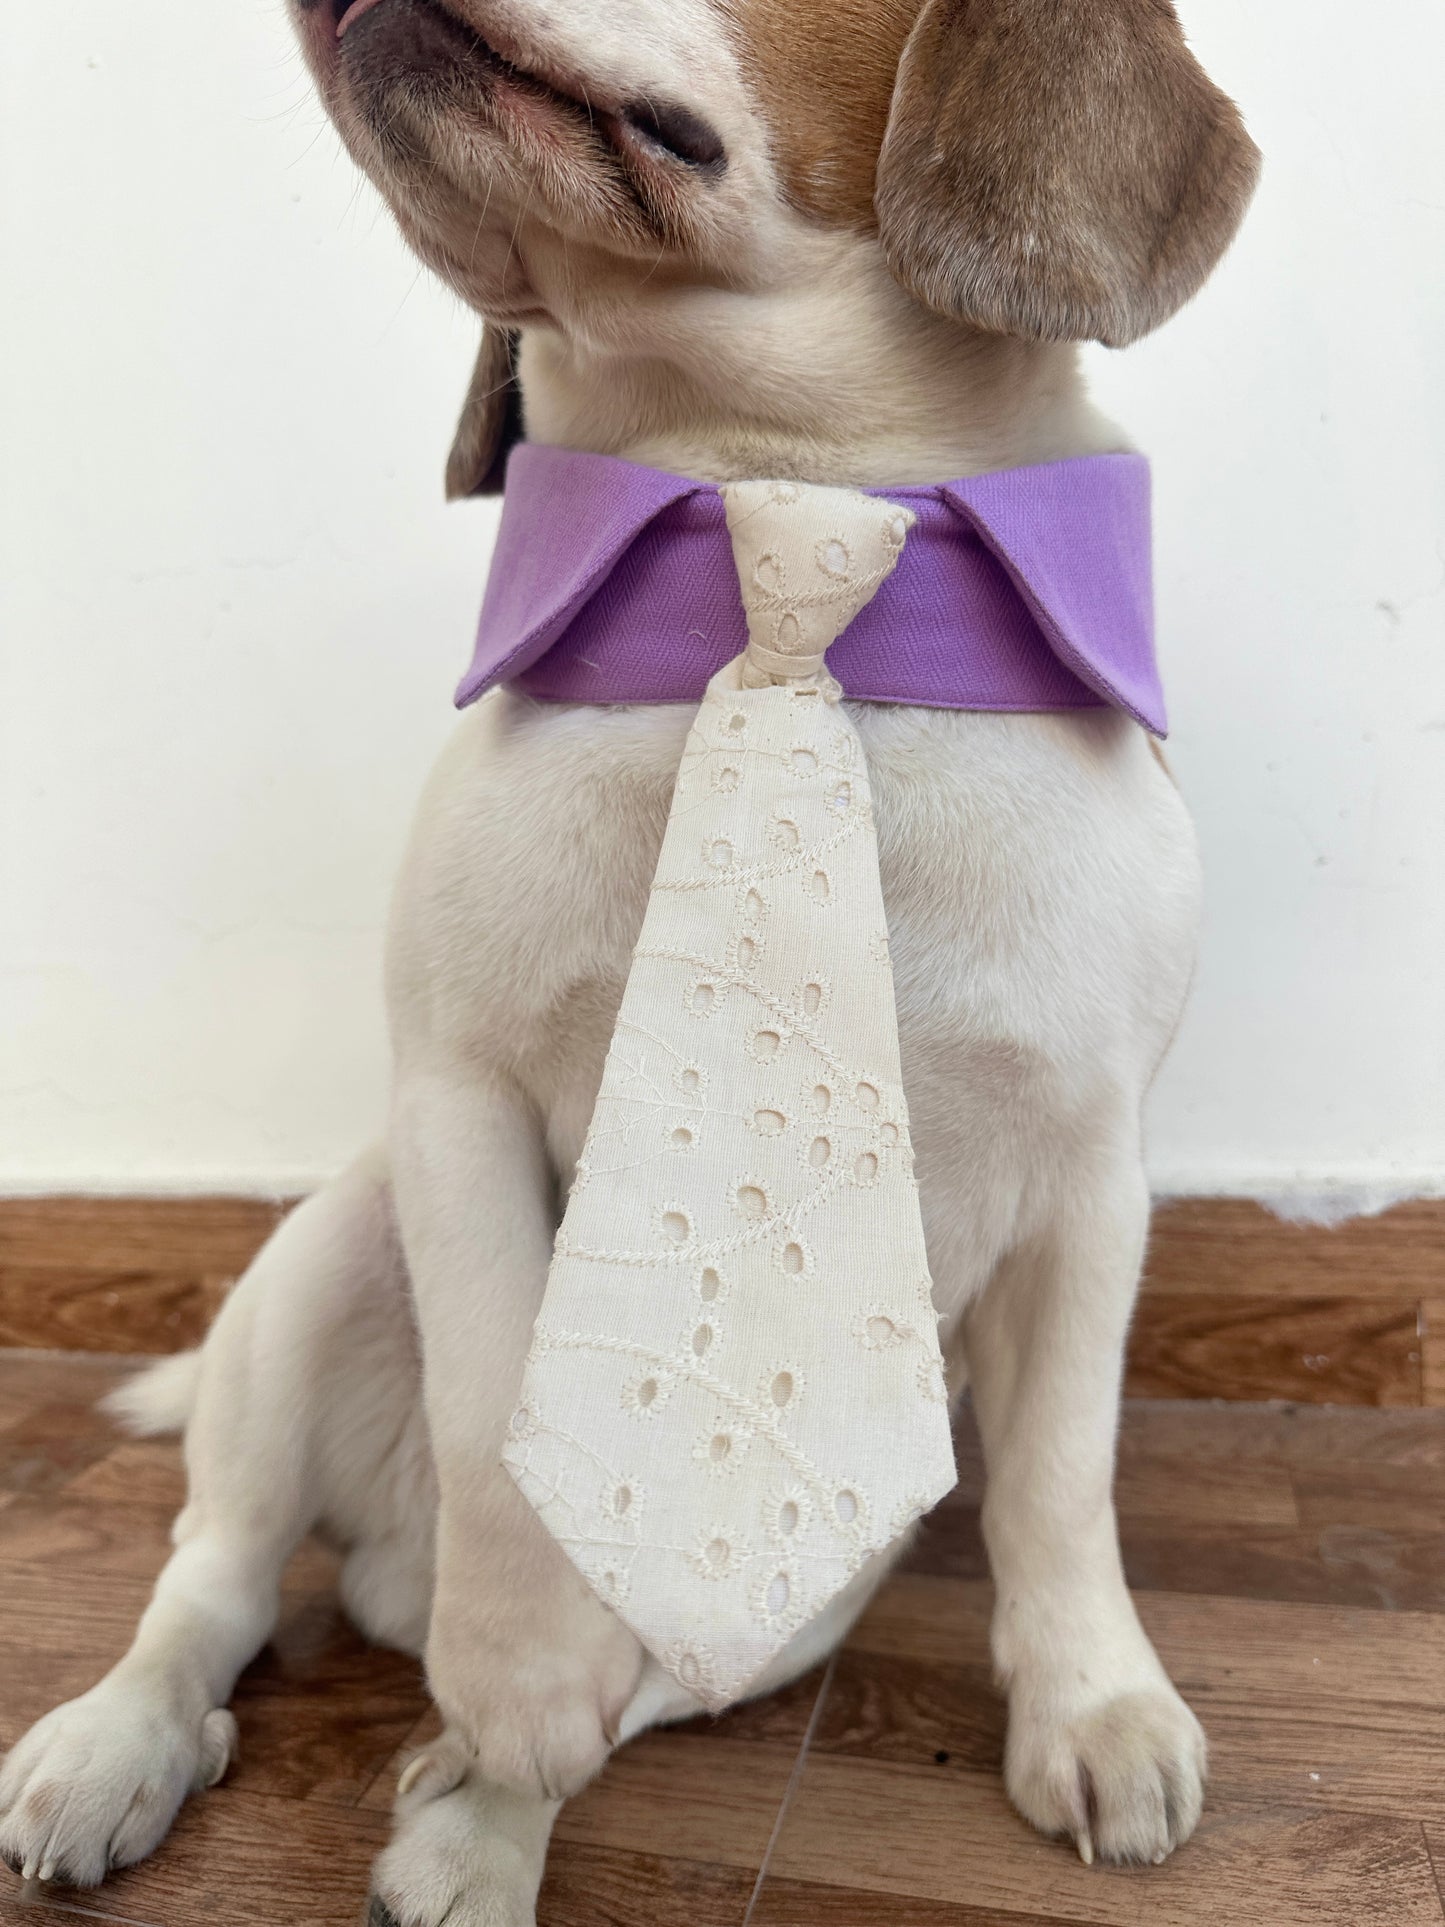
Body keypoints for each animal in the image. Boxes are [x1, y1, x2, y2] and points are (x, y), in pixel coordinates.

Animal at [0, 0, 1256, 1919]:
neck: (772, 498)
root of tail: (385, 1572)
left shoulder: (1089, 1182)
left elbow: (1058, 1480)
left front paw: (1091, 1700)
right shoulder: (456, 1106)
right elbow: (501, 1424)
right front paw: (516, 1667)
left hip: (793, 1599)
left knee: (626, 1667)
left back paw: (465, 1811)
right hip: (319, 1261)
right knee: (217, 1585)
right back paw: (152, 1741)